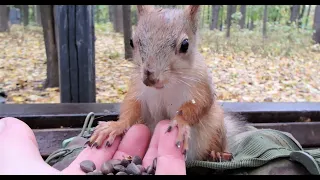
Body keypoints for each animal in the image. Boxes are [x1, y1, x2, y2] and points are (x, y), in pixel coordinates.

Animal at [89, 4, 249, 162]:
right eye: (131, 42)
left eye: (185, 44)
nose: (150, 78)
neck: (165, 87)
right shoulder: (137, 86)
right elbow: (131, 107)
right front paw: (115, 126)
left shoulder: (201, 83)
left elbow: (200, 103)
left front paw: (180, 121)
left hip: (216, 126)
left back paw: (217, 153)